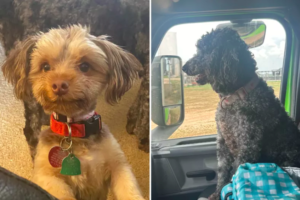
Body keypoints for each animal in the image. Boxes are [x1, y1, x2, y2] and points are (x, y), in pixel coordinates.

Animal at [2, 24, 145, 200]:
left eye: (85, 66)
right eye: (45, 67)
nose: (59, 85)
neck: (74, 131)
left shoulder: (118, 166)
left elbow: (129, 191)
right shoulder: (49, 178)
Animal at [182, 28, 300, 200]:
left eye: (204, 51)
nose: (184, 67)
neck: (236, 94)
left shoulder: (248, 145)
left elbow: (235, 173)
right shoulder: (223, 143)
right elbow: (223, 173)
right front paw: (218, 193)